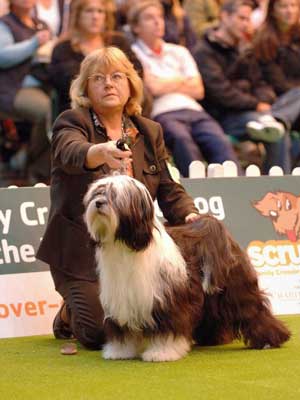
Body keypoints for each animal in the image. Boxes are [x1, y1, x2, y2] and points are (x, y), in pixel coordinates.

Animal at [83, 176, 290, 362]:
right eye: (98, 192)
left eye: (115, 195)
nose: (98, 203)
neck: (127, 247)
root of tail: (212, 227)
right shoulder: (121, 300)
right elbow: (122, 330)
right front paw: (120, 351)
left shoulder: (166, 299)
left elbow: (167, 328)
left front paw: (162, 353)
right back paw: (212, 339)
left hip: (237, 288)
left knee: (254, 310)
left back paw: (269, 339)